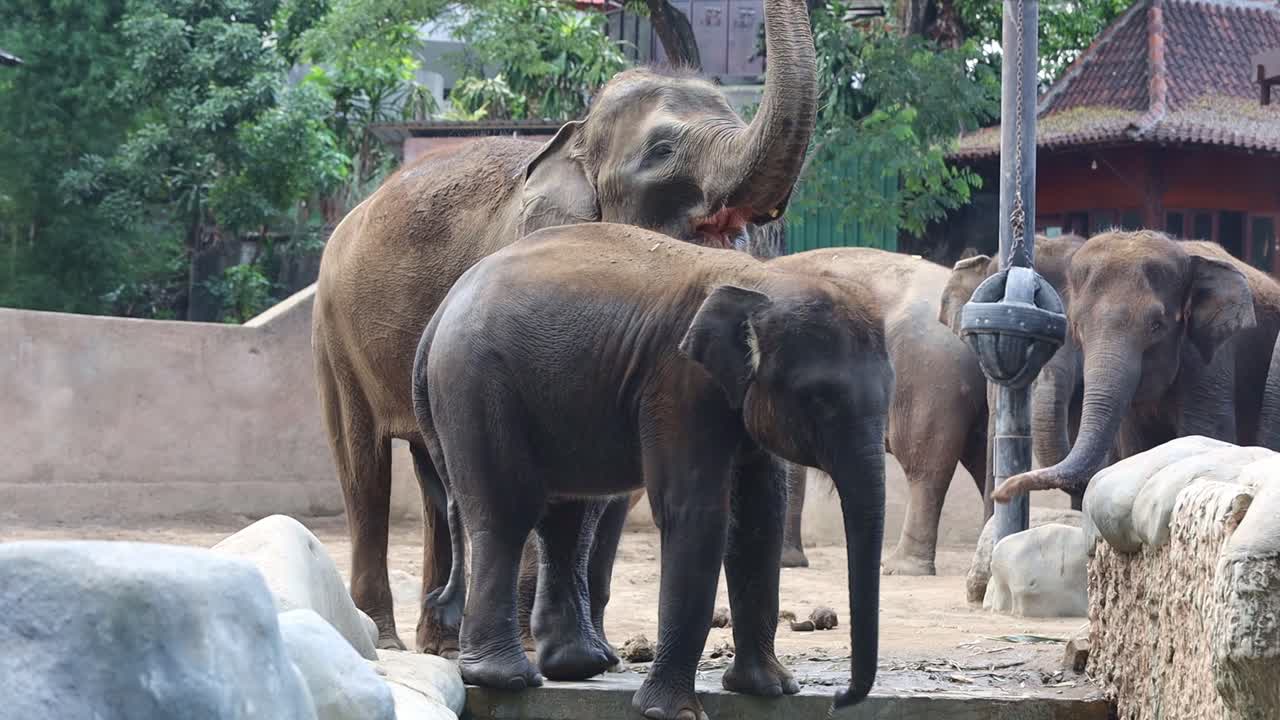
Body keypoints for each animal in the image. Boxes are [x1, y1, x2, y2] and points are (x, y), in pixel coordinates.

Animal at [311, 0, 817, 654]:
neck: (572, 142)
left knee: (433, 475)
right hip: (334, 332)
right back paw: (387, 639)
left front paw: (598, 647)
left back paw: (440, 641)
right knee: (362, 465)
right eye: (661, 152)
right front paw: (539, 645)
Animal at [415, 224, 893, 716]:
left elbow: (760, 519)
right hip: (475, 385)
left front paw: (771, 689)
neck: (761, 280)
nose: (839, 699)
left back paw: (581, 665)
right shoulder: (678, 384)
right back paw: (506, 678)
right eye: (819, 399)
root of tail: (439, 316)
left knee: (569, 517)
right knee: (508, 513)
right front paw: (674, 712)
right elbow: (697, 515)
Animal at [991, 231, 1280, 502]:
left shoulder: (1209, 364)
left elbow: (1205, 433)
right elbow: (1137, 449)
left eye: (1156, 326)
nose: (1001, 493)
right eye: (1077, 326)